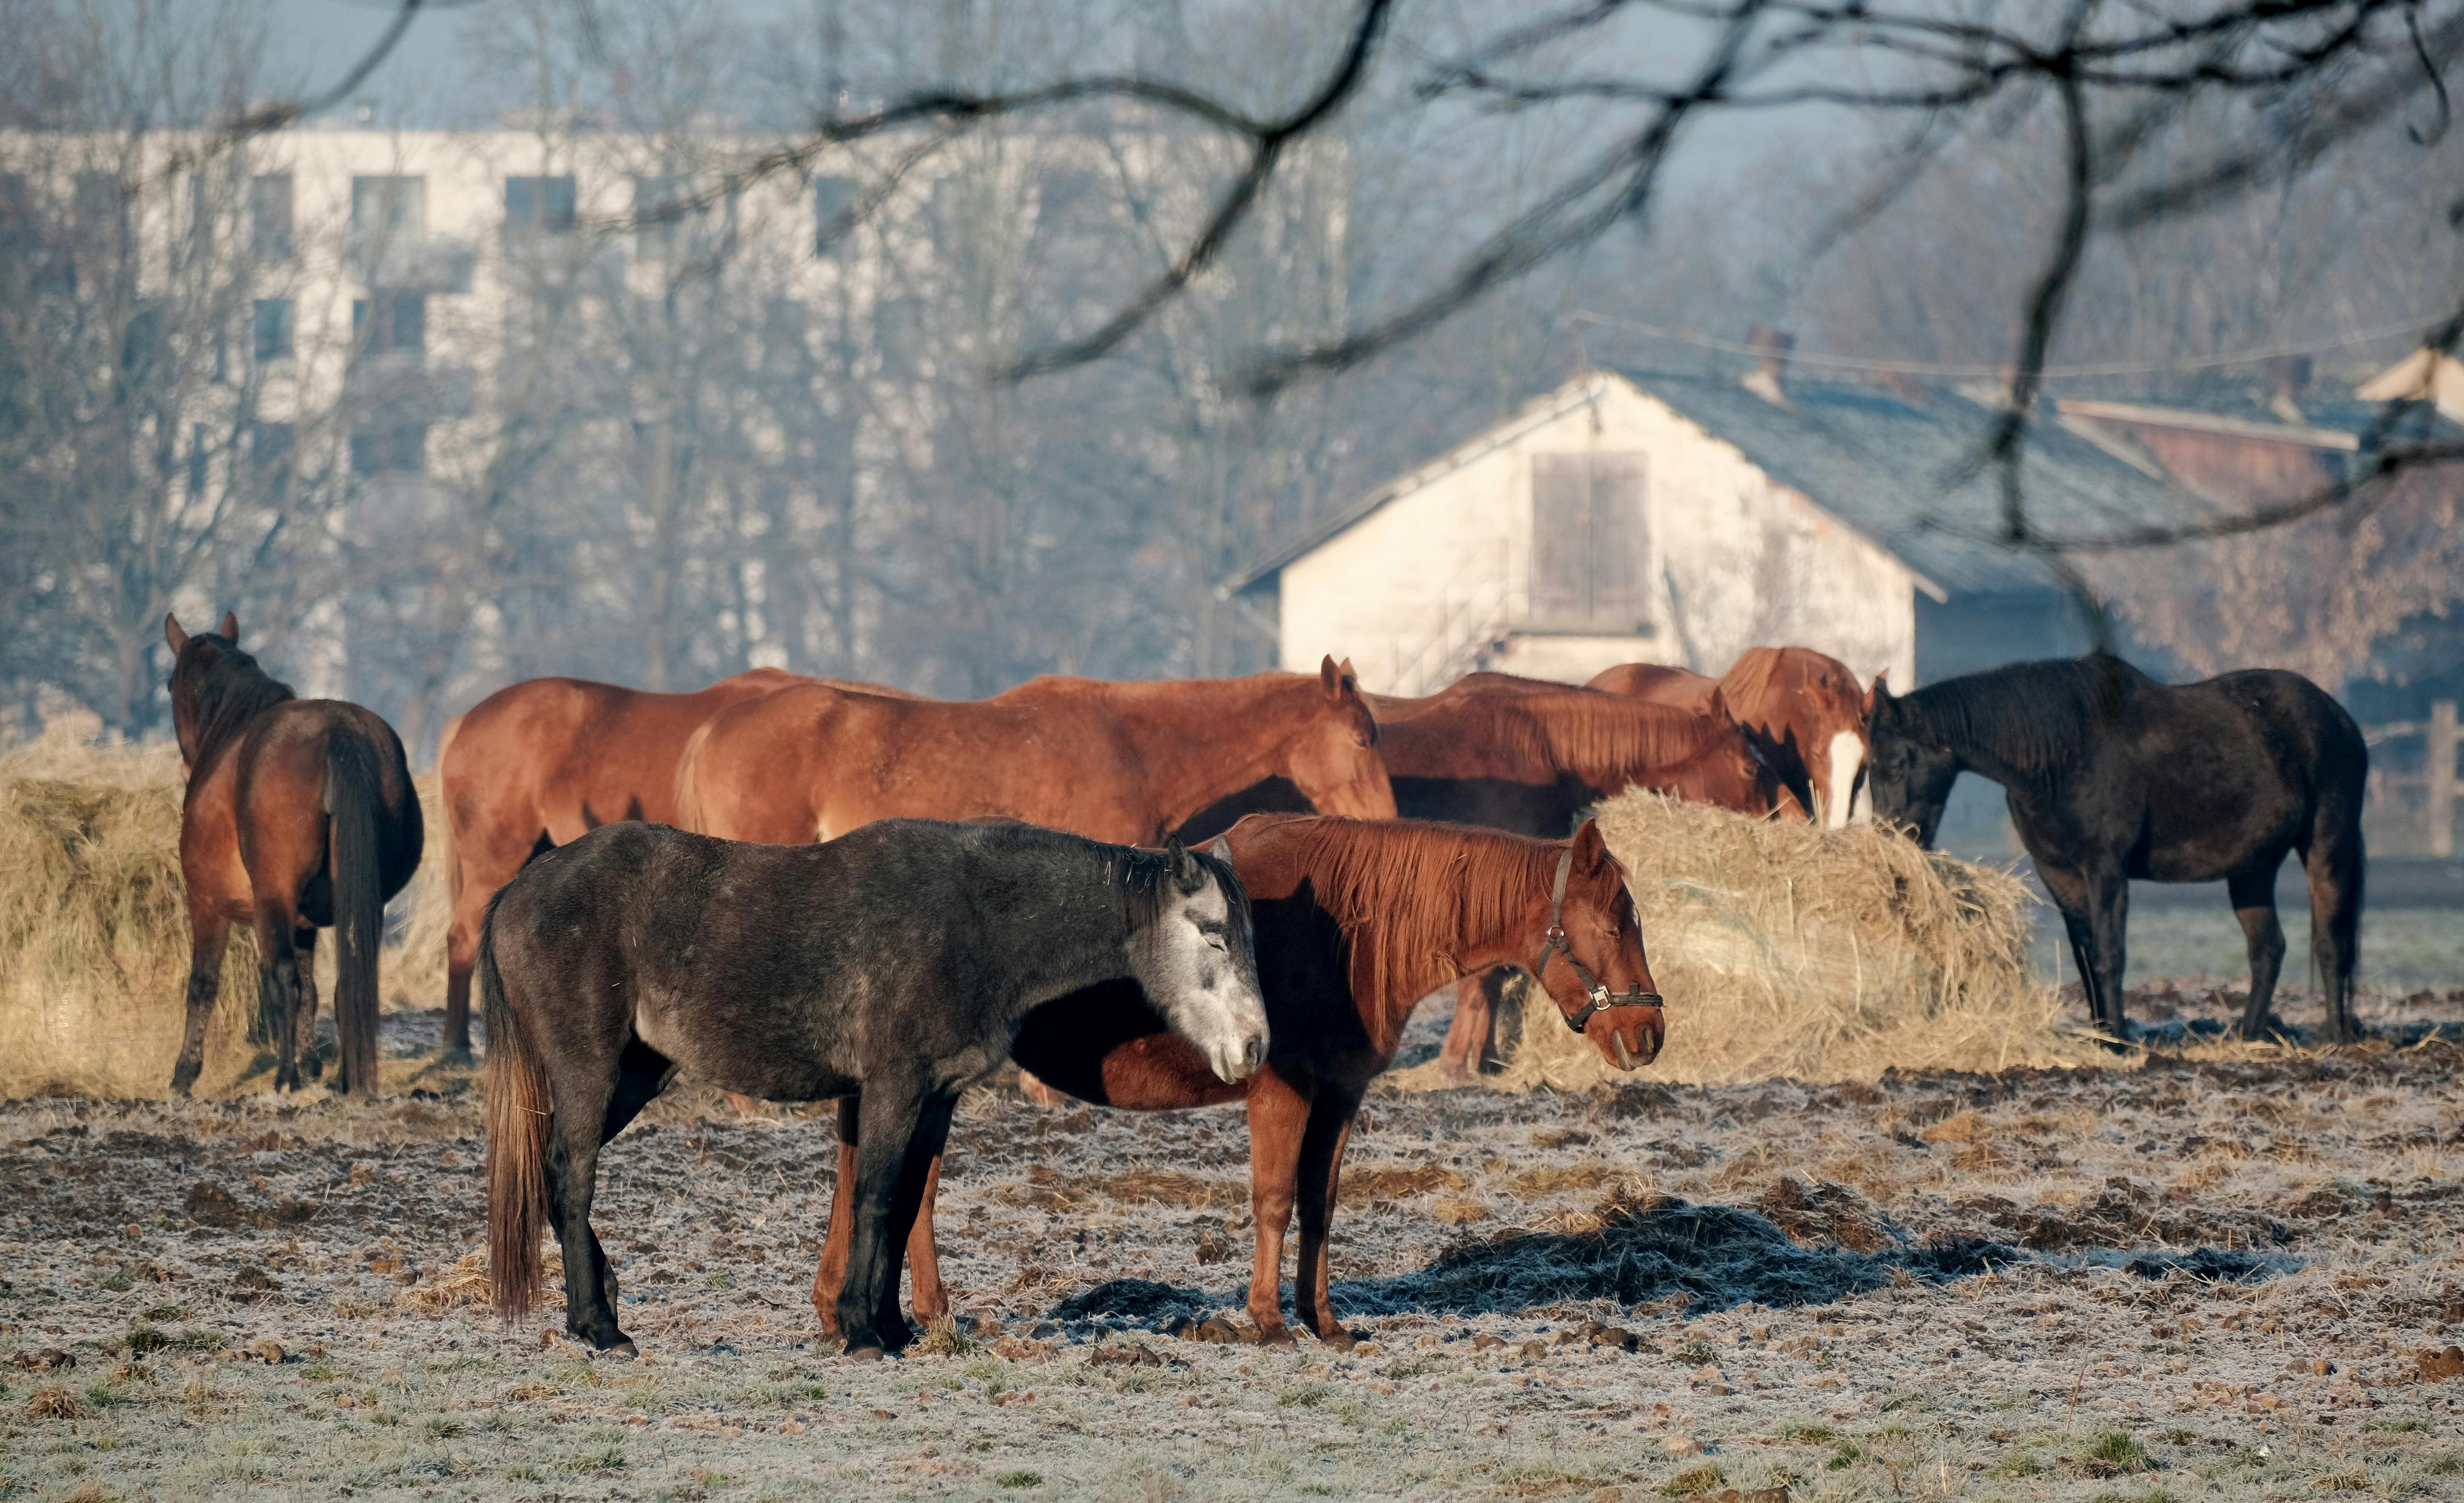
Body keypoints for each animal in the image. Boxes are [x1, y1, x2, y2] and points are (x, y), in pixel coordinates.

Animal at [163, 613, 424, 1095]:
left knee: (284, 981)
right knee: (346, 983)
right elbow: (314, 991)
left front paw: (184, 1074)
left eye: (170, 684)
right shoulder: (304, 923)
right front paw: (310, 1062)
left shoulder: (207, 903)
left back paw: (285, 1077)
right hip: (362, 903)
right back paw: (346, 1079)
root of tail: (340, 731)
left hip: (273, 898)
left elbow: (204, 984)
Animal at [482, 819, 1268, 1358]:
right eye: (1213, 934)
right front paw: (862, 1330)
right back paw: (598, 1326)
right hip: (591, 1069)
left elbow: (908, 1199)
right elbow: (877, 1197)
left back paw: (606, 1300)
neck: (977, 920)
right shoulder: (893, 1086)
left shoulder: (936, 1097)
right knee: (570, 1173)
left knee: (555, 1177)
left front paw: (891, 1325)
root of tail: (518, 890)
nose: (1254, 1046)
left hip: (636, 1076)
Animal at [810, 814, 1664, 1348]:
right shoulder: (1281, 1089)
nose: (1648, 1034)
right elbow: (1275, 1200)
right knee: (905, 1184)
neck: (1347, 931)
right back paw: (922, 1313)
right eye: (1613, 919)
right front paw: (1267, 1320)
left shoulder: (1339, 1096)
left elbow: (1319, 1205)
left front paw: (1324, 1322)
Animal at [1360, 673, 1772, 1076]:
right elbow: (1482, 981)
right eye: (1750, 769)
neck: (1530, 752)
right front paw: (1460, 1062)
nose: (1767, 826)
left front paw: (1482, 1057)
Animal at [1865, 654, 2367, 1042]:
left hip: (2328, 847)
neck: (2062, 754)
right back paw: (2248, 1036)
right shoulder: (2059, 874)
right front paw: (2102, 1035)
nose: (1891, 841)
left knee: (2331, 942)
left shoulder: (2106, 869)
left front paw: (2121, 1039)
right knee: (2269, 948)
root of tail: (2342, 719)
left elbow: (2110, 954)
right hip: (2253, 868)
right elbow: (2086, 955)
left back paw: (2335, 1036)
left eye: (1897, 763)